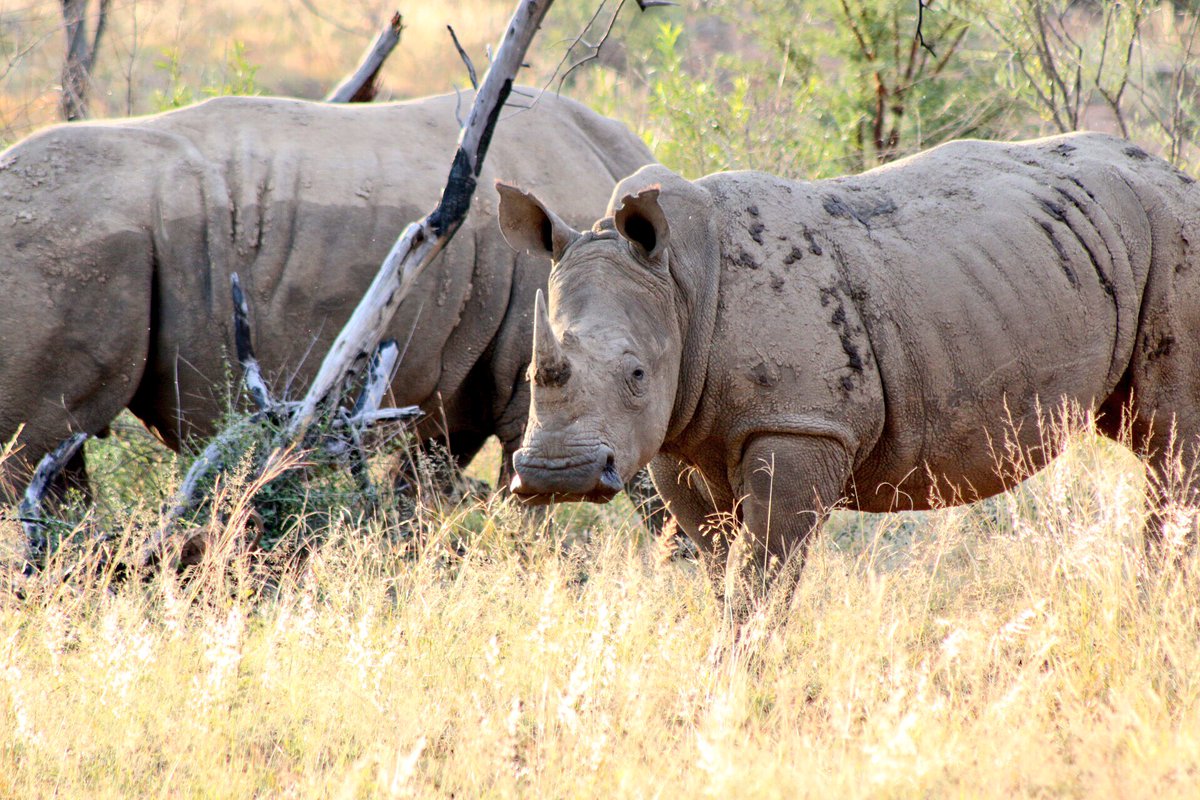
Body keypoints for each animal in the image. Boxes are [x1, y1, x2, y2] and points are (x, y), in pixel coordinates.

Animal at [497, 132, 1200, 602]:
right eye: (531, 374)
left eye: (637, 374)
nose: (557, 475)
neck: (679, 284)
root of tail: (1177, 176)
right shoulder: (676, 439)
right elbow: (719, 567)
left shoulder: (801, 423)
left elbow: (764, 578)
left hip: (1173, 234)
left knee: (1171, 444)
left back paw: (1156, 609)